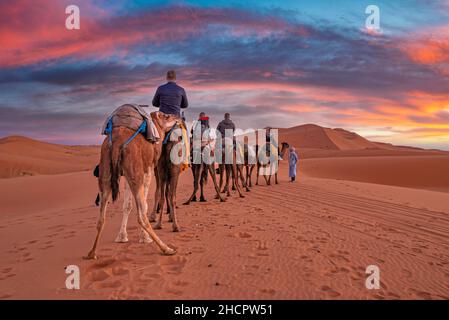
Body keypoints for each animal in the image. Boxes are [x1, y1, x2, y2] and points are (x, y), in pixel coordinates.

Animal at [84, 110, 180, 260]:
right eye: (166, 116)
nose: (178, 118)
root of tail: (116, 143)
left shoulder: (127, 176)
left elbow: (127, 205)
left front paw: (122, 237)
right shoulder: (147, 171)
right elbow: (144, 206)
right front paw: (144, 238)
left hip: (106, 174)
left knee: (101, 218)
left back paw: (92, 253)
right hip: (135, 173)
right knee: (141, 216)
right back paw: (166, 248)